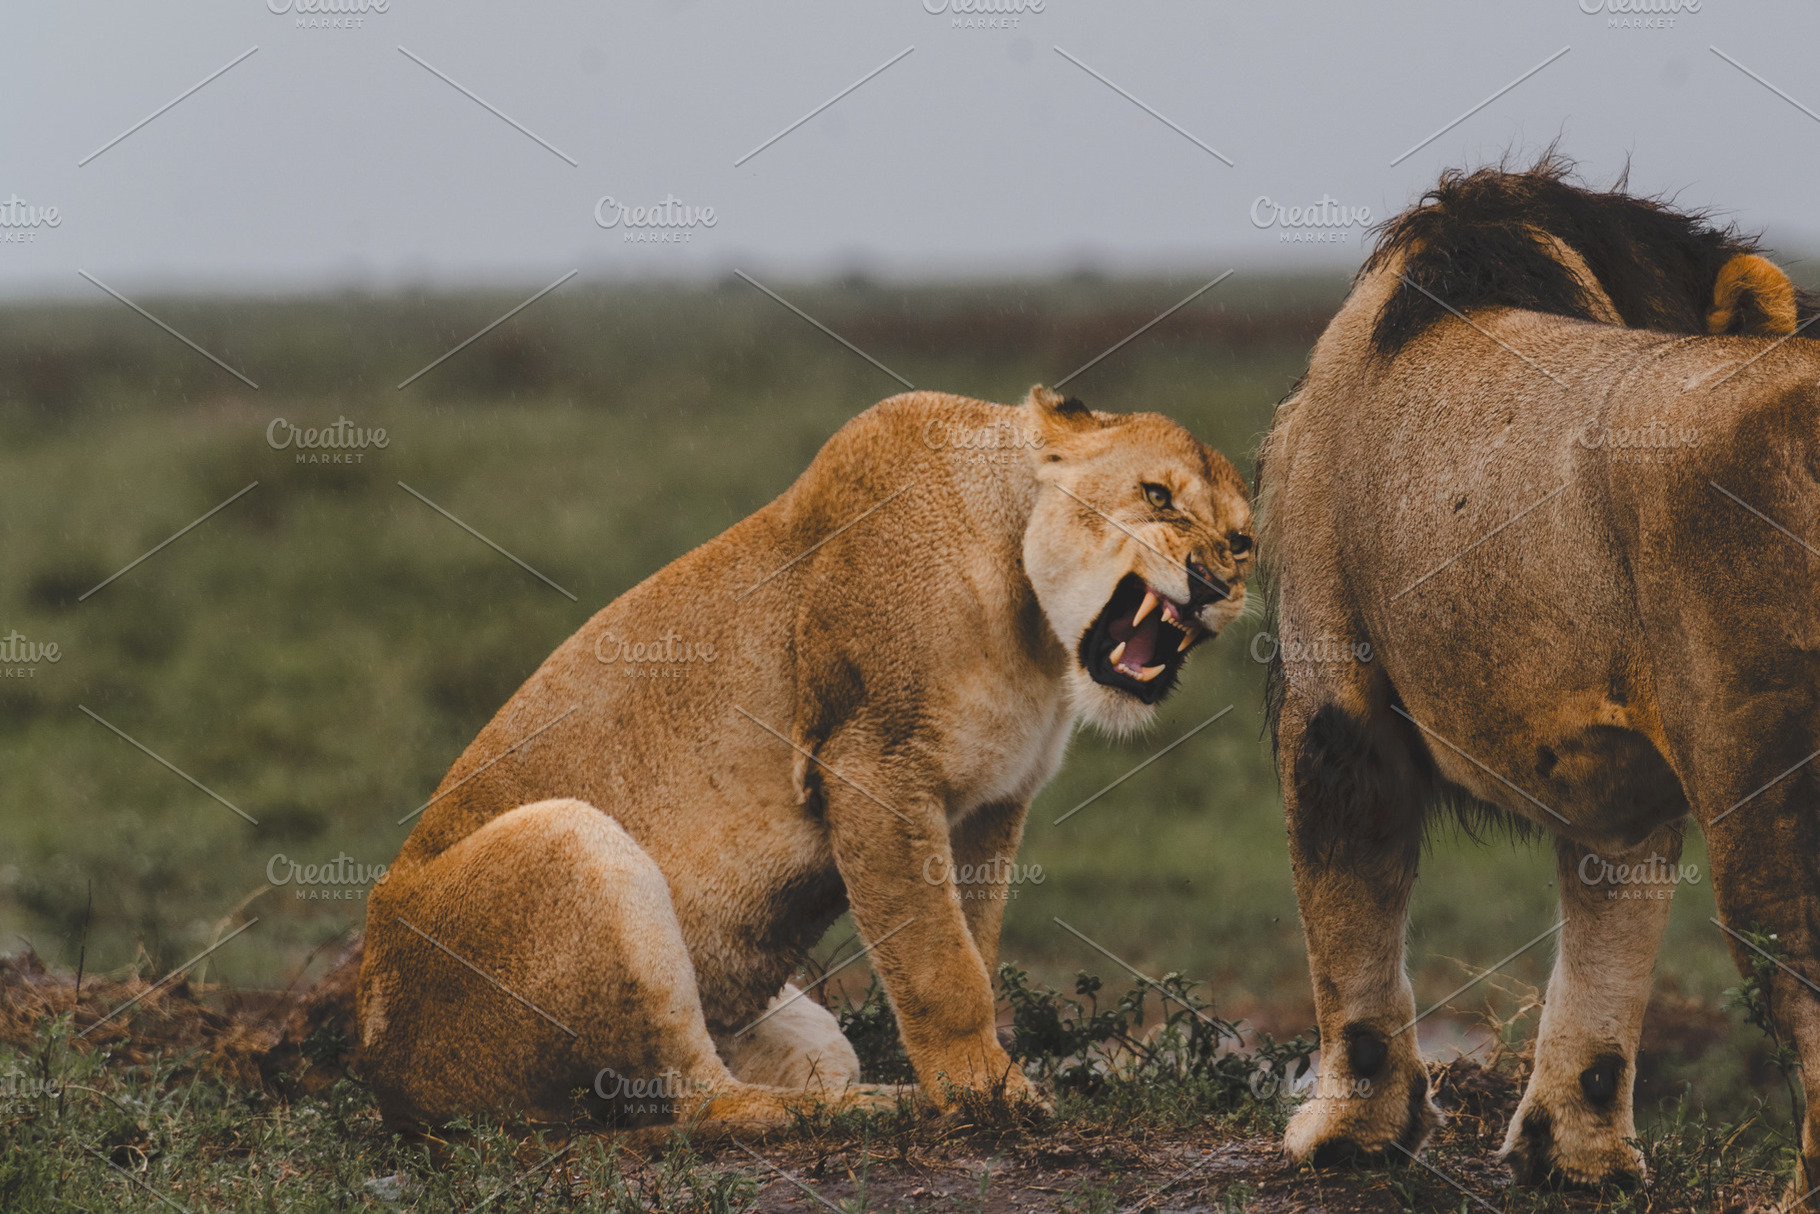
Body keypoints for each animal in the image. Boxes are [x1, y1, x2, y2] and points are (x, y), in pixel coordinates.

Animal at [358, 385, 1253, 1130]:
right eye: (1157, 495)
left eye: (1242, 542)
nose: (1214, 583)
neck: (1033, 621)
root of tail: (385, 1083)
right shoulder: (870, 762)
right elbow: (943, 968)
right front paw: (985, 1096)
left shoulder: (994, 804)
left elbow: (973, 943)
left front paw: (969, 1081)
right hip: (569, 838)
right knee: (705, 1103)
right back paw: (876, 1112)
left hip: (795, 1019)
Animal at [1257, 155, 1820, 1199]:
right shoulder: (1622, 781)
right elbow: (1609, 938)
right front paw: (1579, 1156)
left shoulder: (1330, 686)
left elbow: (1347, 907)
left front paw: (1349, 1134)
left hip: (1761, 768)